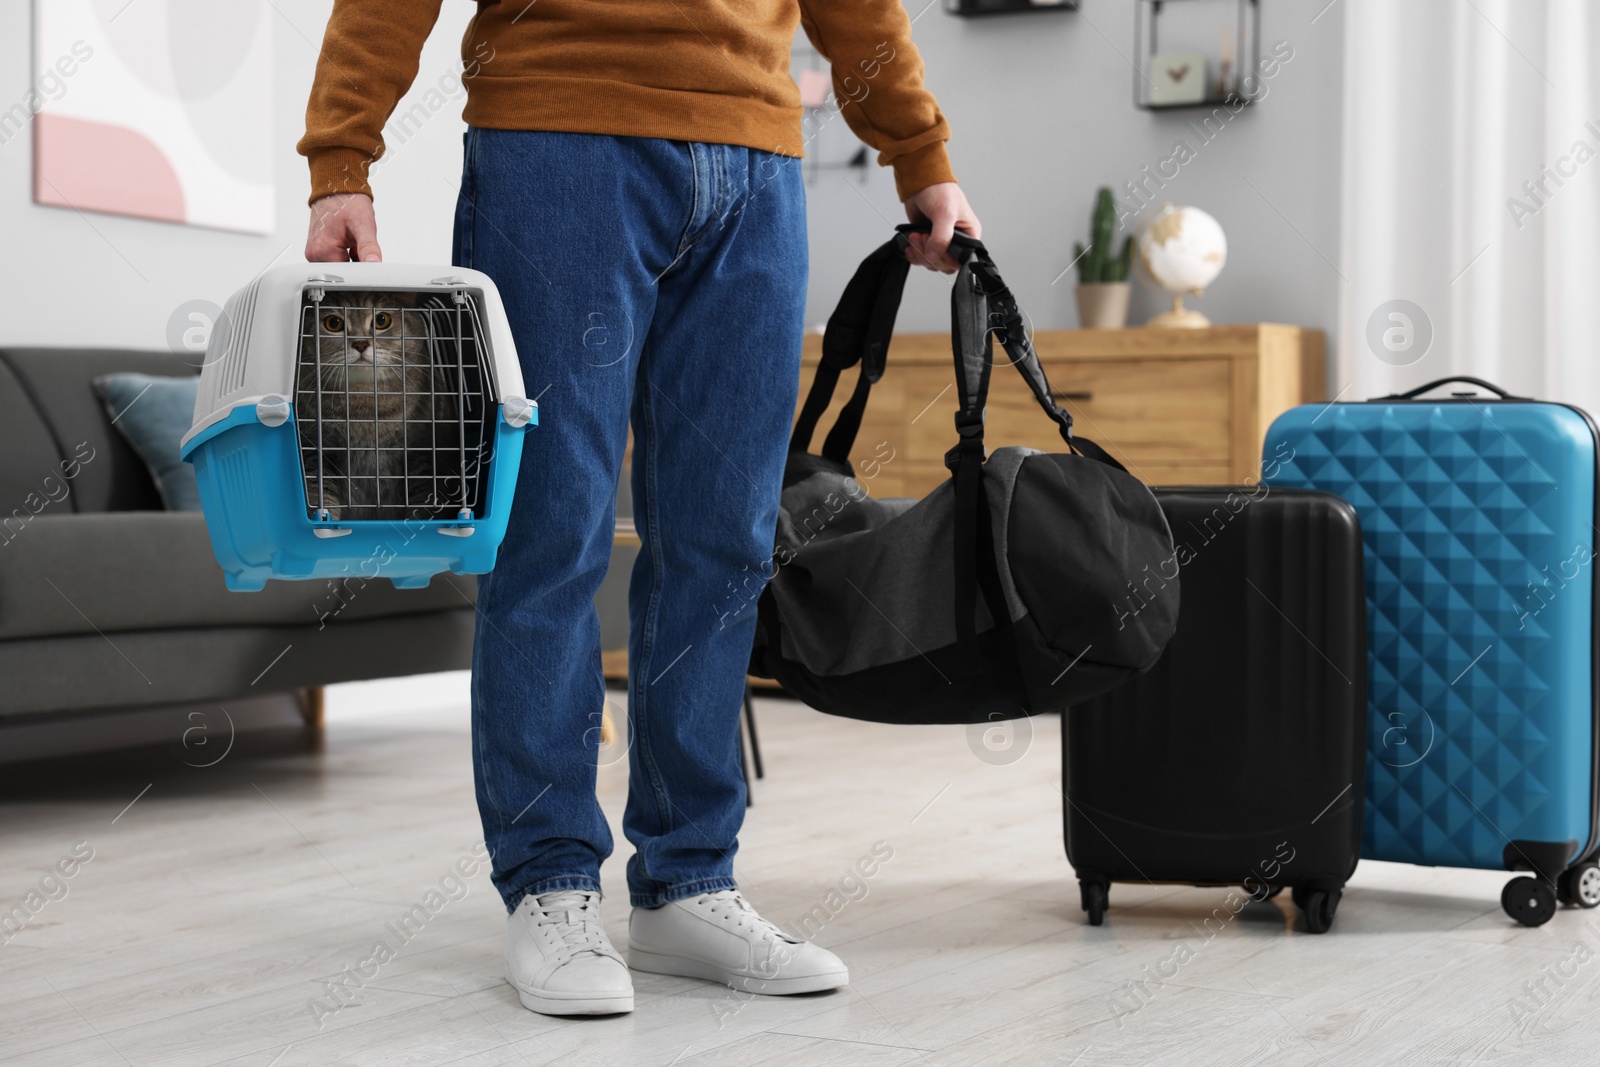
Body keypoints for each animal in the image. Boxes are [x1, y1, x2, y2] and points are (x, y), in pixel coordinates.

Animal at [296, 292, 464, 521]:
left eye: (381, 320)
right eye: (334, 323)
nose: (360, 344)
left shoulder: (423, 457)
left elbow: (423, 507)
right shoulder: (316, 452)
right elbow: (320, 497)